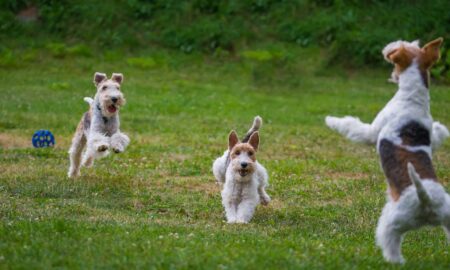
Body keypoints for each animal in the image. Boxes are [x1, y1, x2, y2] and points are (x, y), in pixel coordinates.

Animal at [326, 38, 450, 264]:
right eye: (413, 44)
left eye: (403, 46)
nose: (388, 47)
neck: (412, 99)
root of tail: (426, 201)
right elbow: (439, 132)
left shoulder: (371, 132)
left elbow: (351, 125)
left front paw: (330, 120)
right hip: (449, 218)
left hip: (393, 222)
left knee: (390, 242)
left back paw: (393, 261)